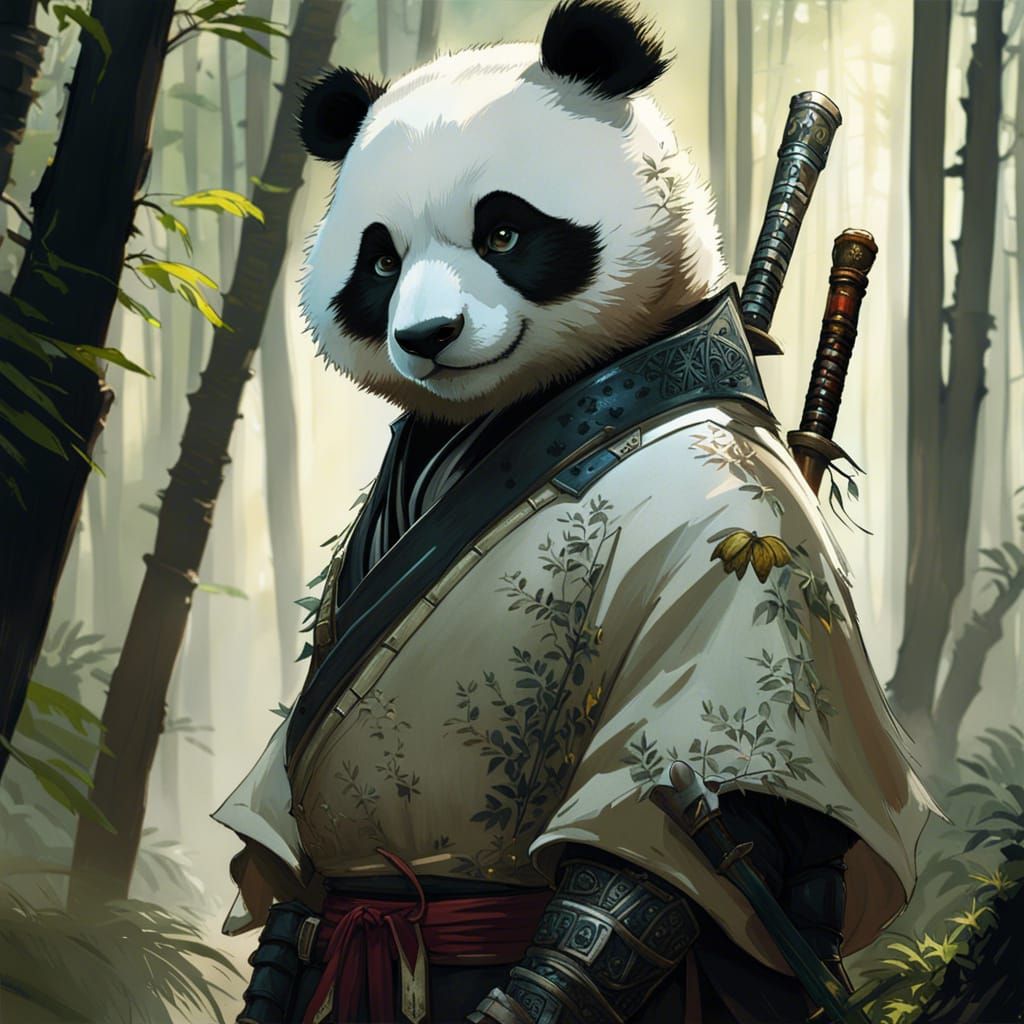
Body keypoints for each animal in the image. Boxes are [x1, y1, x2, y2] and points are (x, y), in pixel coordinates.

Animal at [219, 3, 930, 1023]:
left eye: (505, 233)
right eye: (382, 260)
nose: (426, 337)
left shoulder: (737, 535)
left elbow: (651, 866)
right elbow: (292, 894)